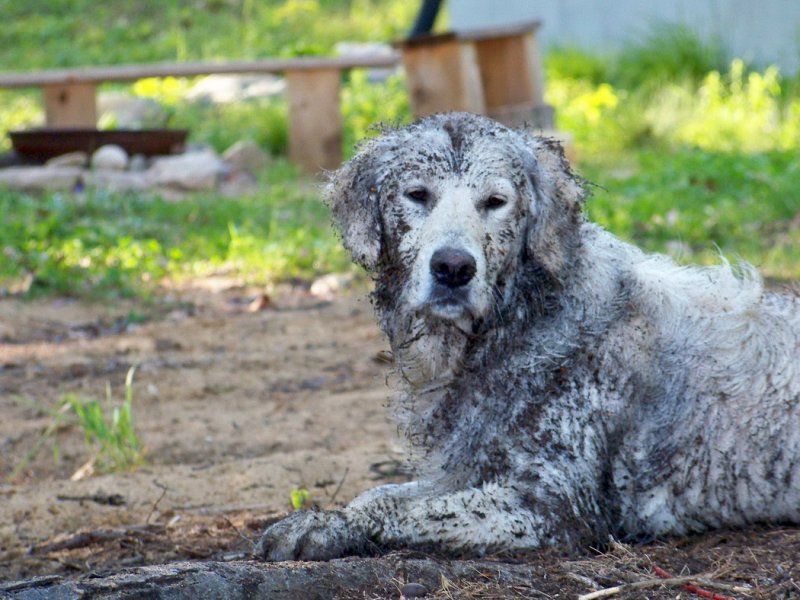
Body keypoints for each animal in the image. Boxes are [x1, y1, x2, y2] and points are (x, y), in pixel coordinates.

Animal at [255, 112, 800, 561]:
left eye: (495, 202)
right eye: (418, 195)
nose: (453, 268)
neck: (524, 318)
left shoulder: (549, 505)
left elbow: (396, 510)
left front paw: (333, 524)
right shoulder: (465, 472)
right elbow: (383, 492)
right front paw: (320, 518)